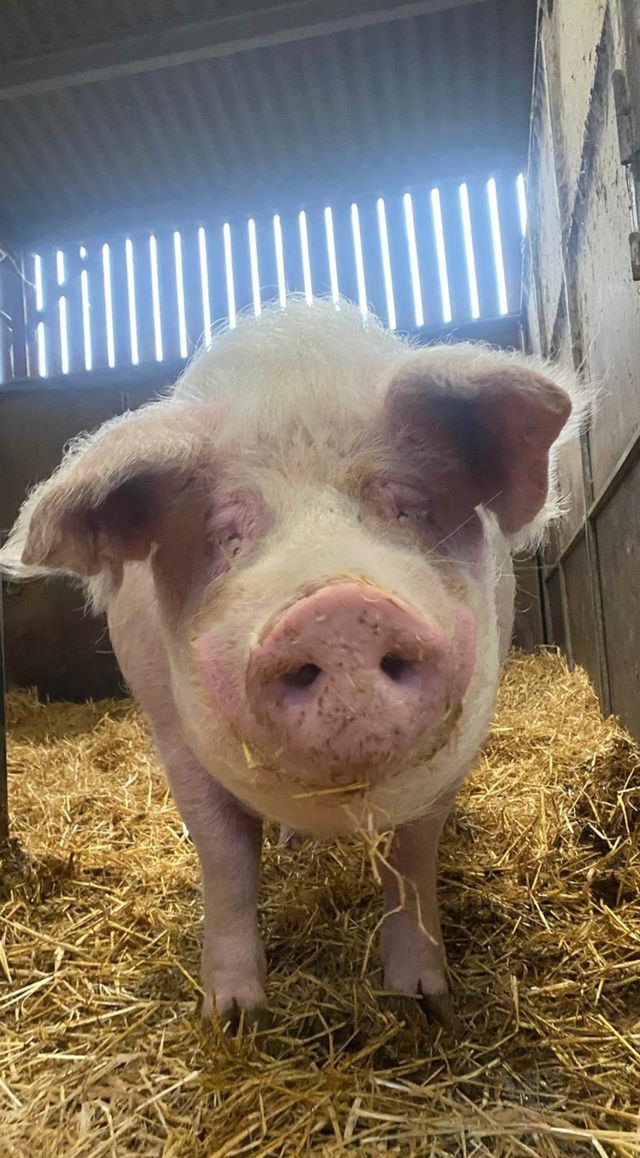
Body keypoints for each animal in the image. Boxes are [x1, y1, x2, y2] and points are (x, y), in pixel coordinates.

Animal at [0, 299, 583, 1028]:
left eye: (408, 507)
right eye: (226, 534)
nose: (338, 612)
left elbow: (412, 858)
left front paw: (424, 1004)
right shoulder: (170, 731)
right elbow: (224, 857)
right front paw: (232, 1017)